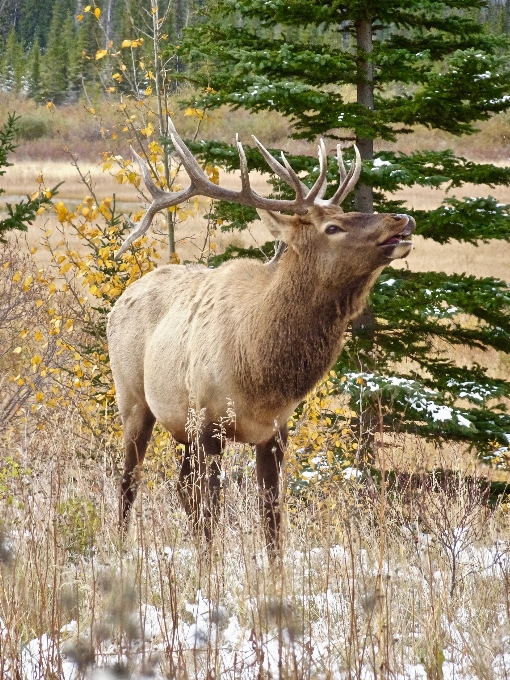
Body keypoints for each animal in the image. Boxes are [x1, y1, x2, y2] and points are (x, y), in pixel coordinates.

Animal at [107, 115, 414, 552]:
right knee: (130, 480)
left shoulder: (274, 432)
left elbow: (272, 521)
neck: (260, 372)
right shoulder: (209, 425)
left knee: (180, 485)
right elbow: (212, 515)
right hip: (134, 399)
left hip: (179, 426)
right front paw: (209, 565)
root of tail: (120, 299)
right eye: (332, 227)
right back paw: (119, 547)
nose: (401, 219)